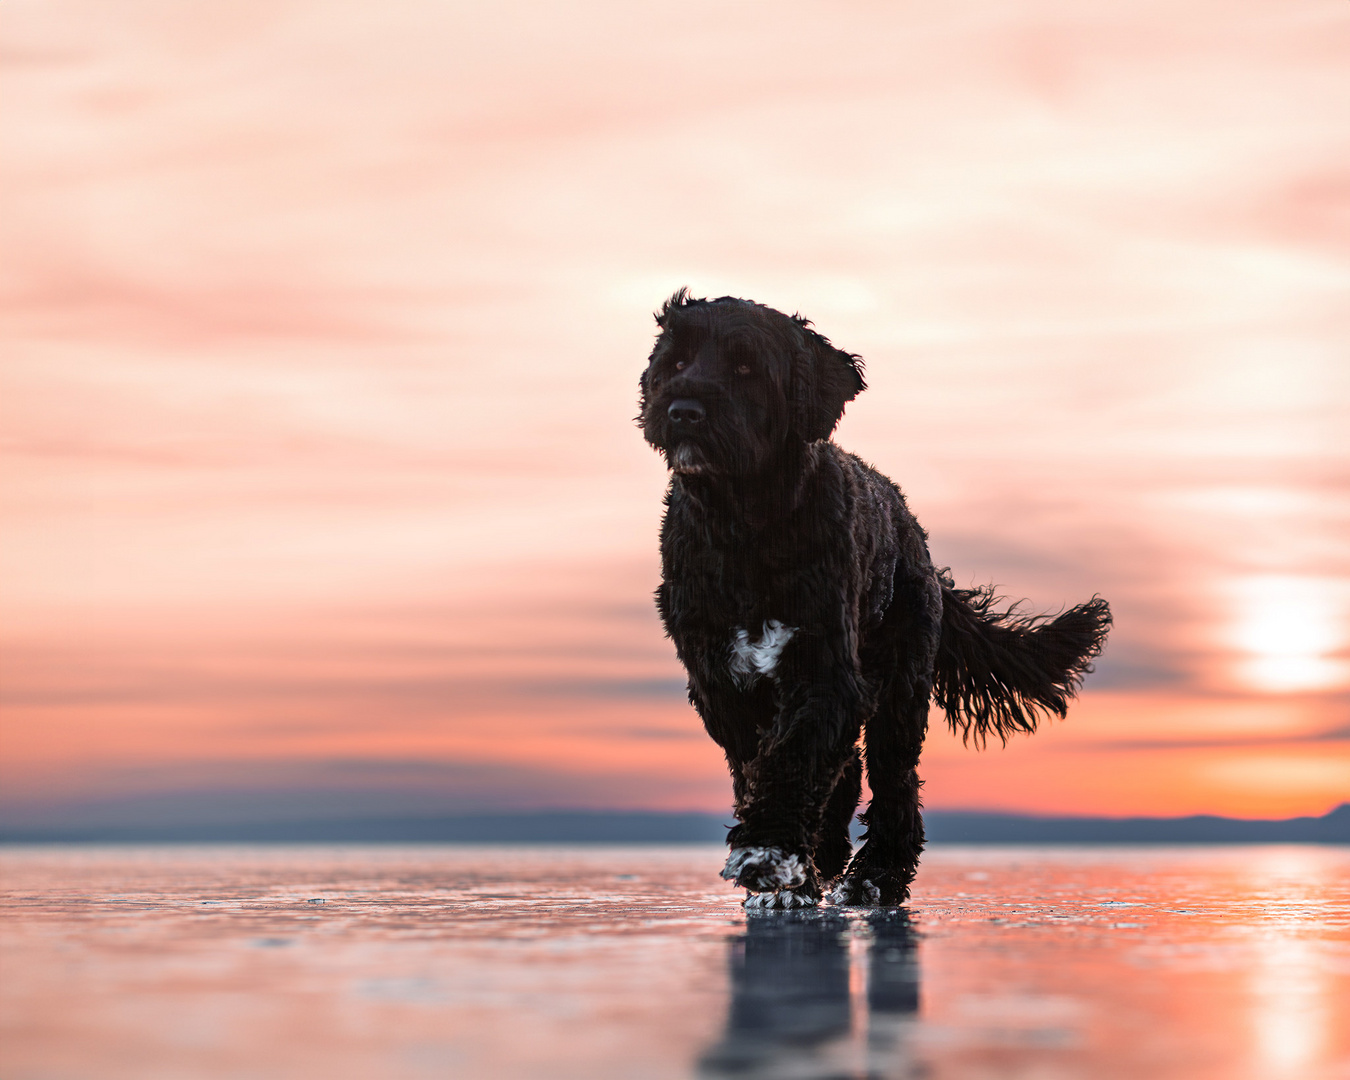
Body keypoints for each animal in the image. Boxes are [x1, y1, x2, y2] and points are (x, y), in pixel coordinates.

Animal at [637, 291, 1112, 907]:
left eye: (745, 368)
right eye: (675, 362)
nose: (682, 409)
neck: (745, 529)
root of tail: (914, 532)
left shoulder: (827, 671)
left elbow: (793, 757)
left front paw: (769, 853)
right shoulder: (723, 684)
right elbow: (766, 764)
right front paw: (788, 867)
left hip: (902, 681)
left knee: (892, 780)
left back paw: (877, 874)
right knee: (847, 772)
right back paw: (827, 860)